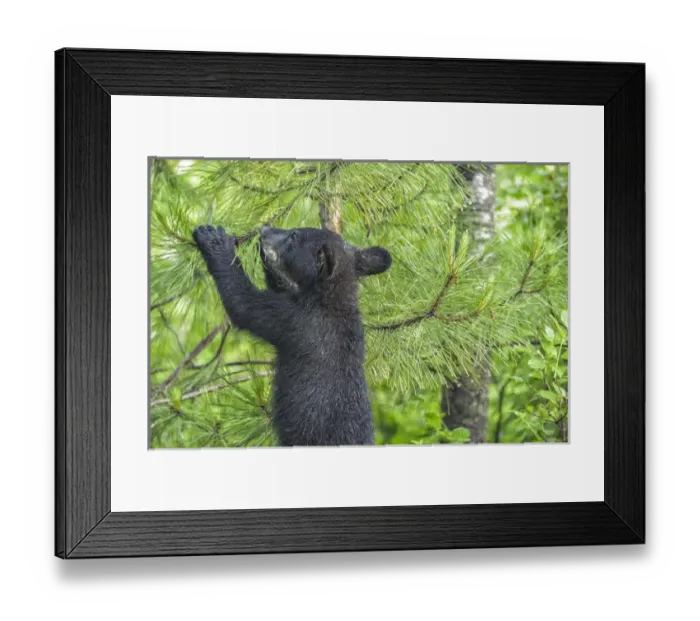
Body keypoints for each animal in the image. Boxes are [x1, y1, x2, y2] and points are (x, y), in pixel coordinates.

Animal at [192, 224, 392, 447]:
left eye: (294, 236)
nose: (265, 228)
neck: (330, 298)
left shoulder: (297, 321)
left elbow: (244, 303)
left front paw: (215, 240)